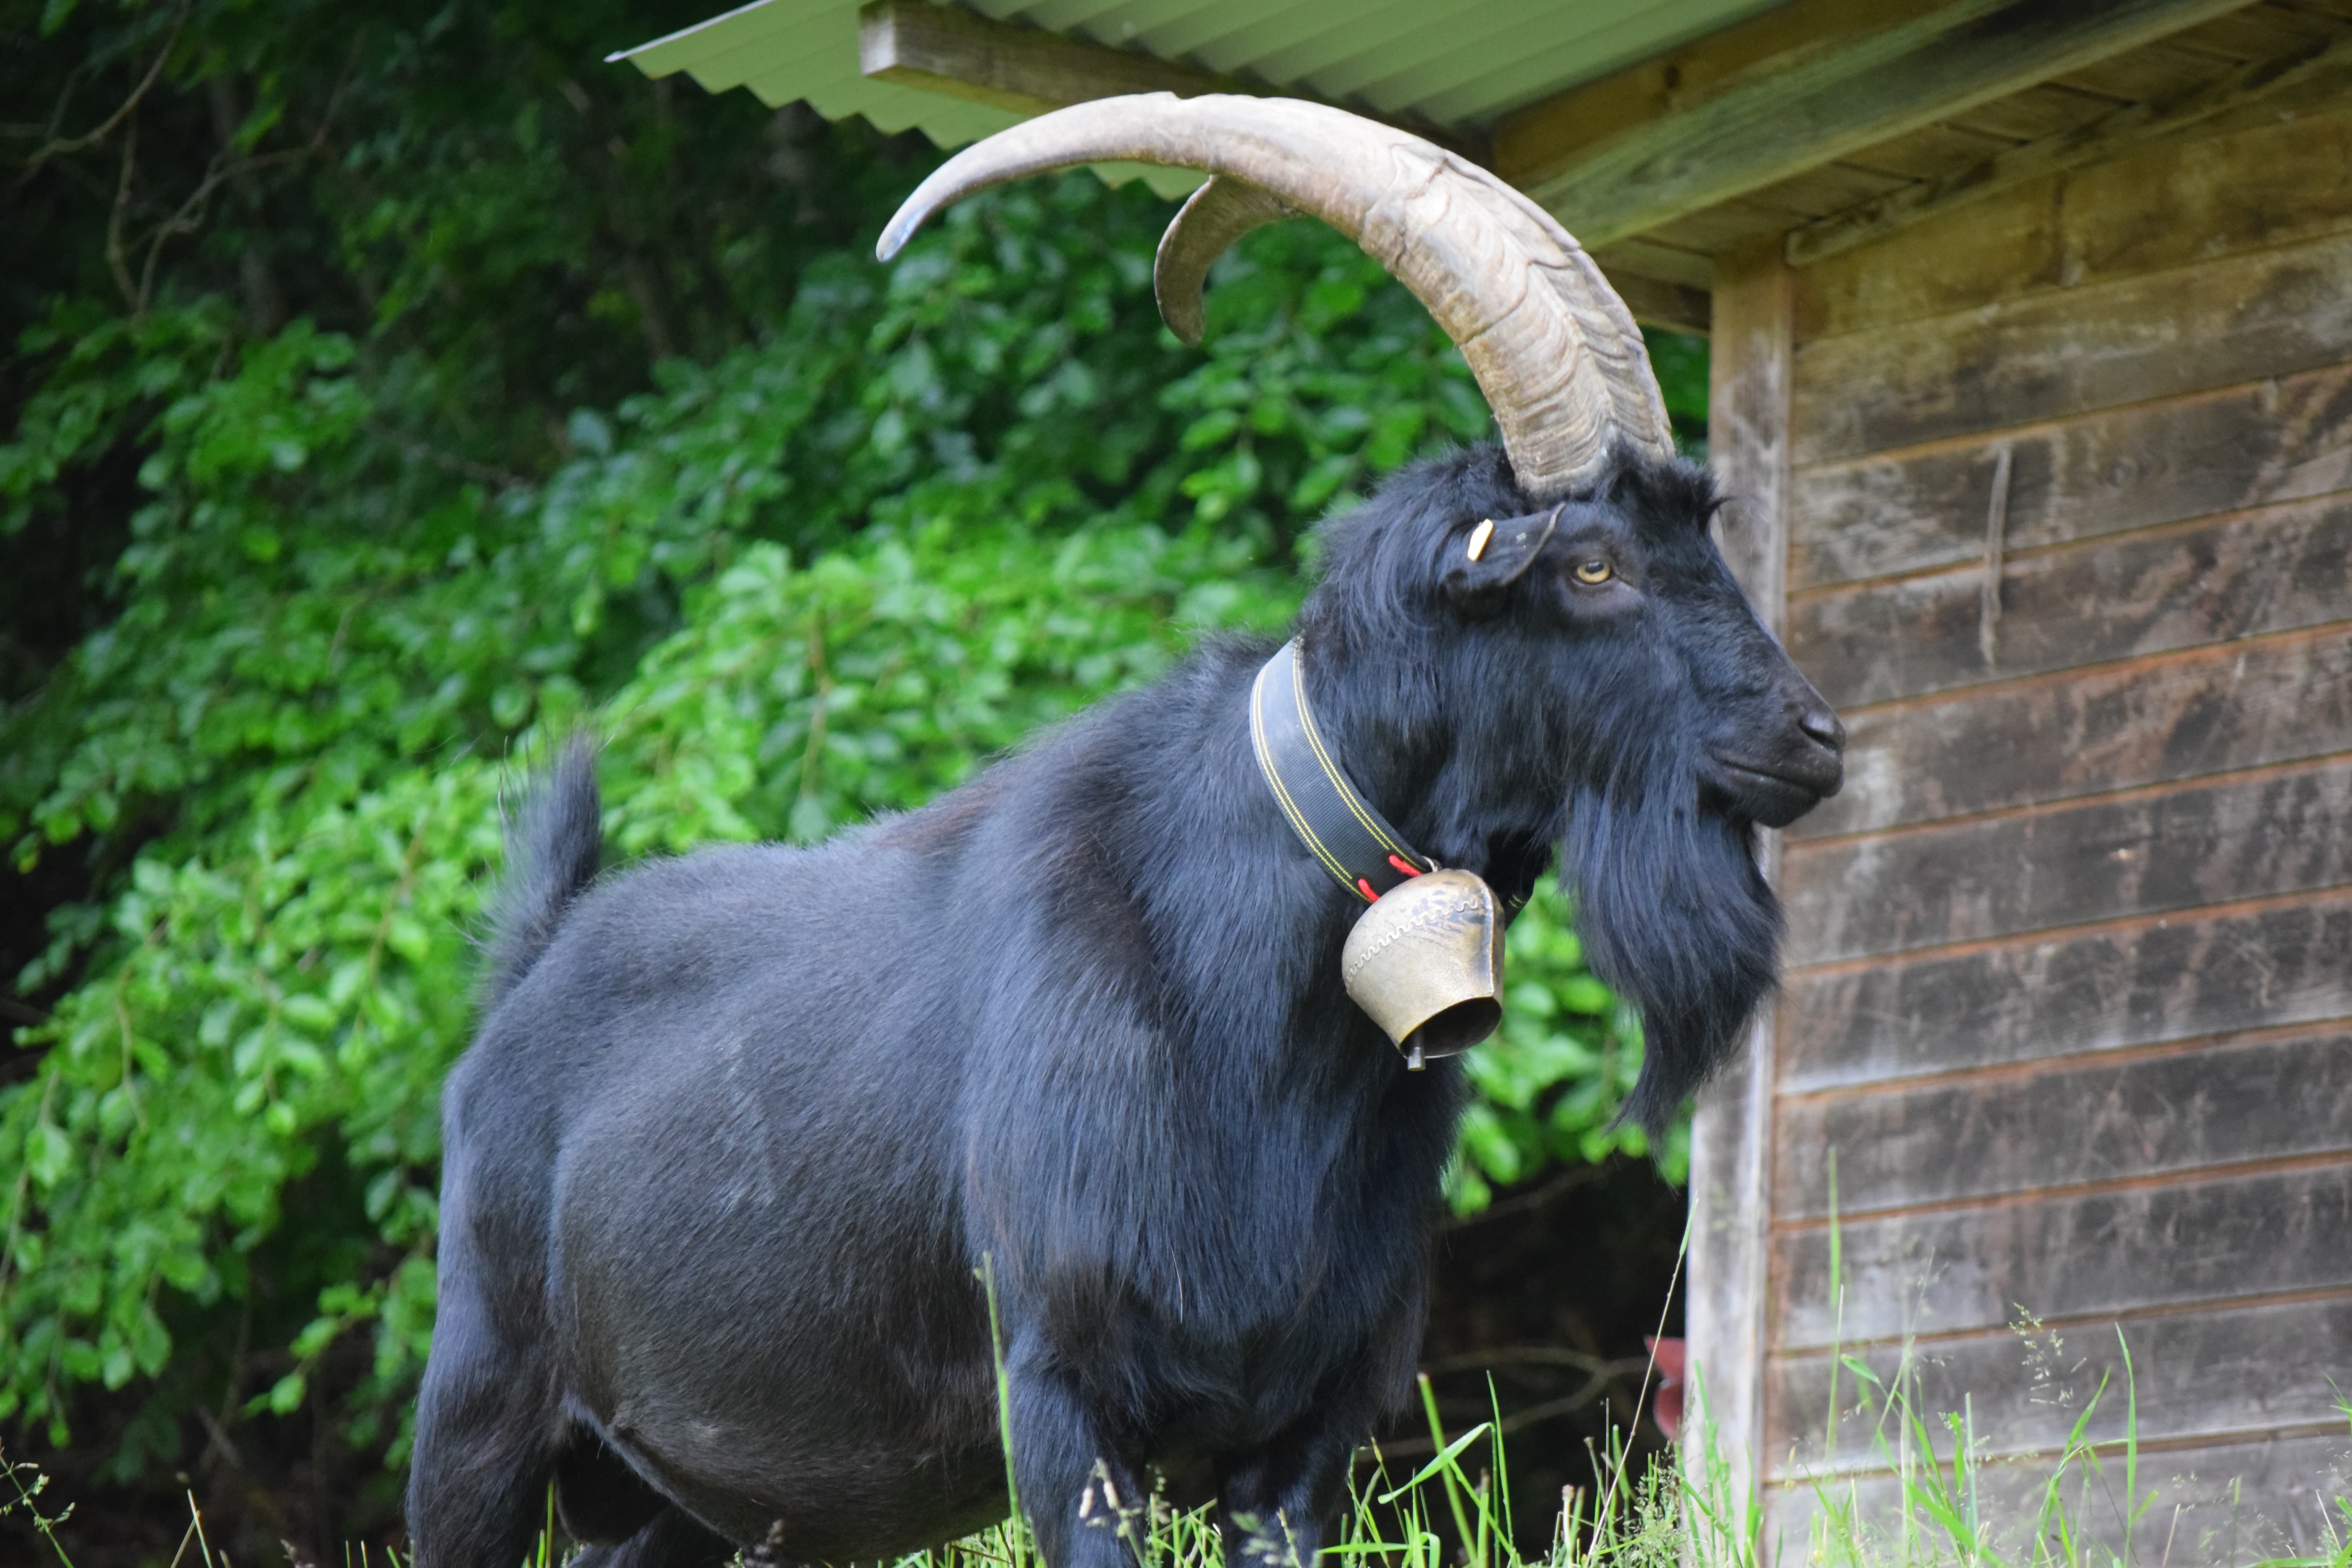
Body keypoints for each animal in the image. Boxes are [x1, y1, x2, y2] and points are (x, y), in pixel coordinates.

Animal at [405, 95, 1844, 1568]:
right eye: (1591, 562)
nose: (1811, 739)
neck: (1246, 978)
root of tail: (531, 968)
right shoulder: (1066, 1395)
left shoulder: (1305, 1425)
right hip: (482, 1409)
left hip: (683, 1508)